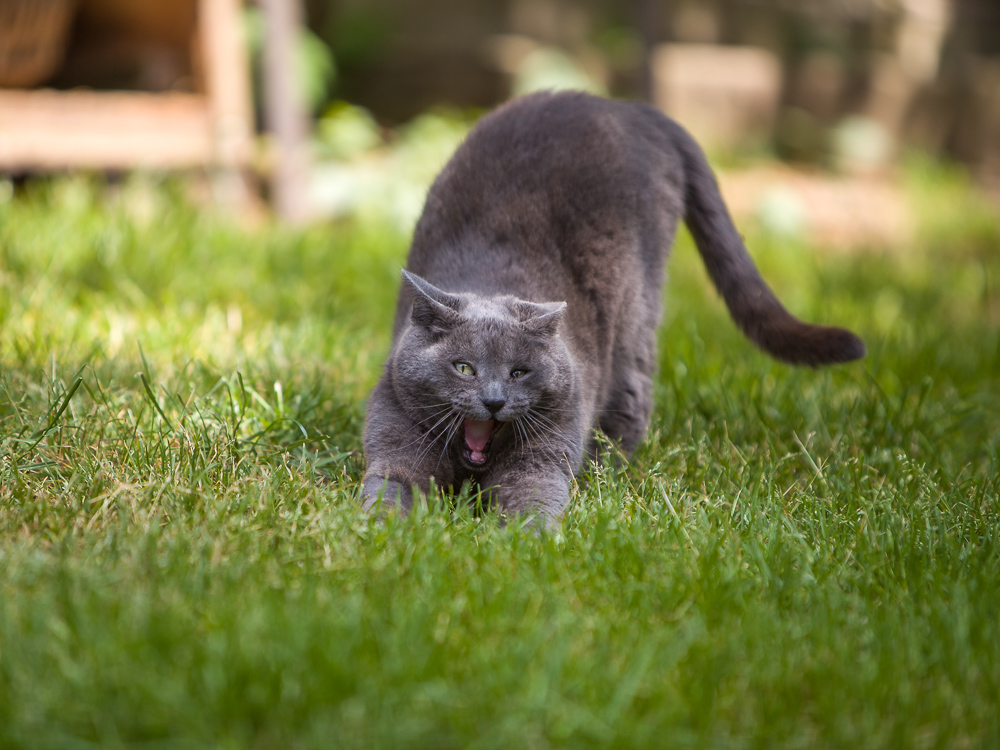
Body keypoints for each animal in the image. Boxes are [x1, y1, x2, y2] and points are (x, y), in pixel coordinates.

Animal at [362, 91, 868, 524]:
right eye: (463, 368)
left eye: (519, 372)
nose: (493, 400)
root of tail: (627, 108)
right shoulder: (394, 447)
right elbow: (389, 489)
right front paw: (383, 533)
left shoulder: (543, 457)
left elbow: (533, 500)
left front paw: (523, 543)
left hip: (634, 313)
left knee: (632, 395)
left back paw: (605, 474)